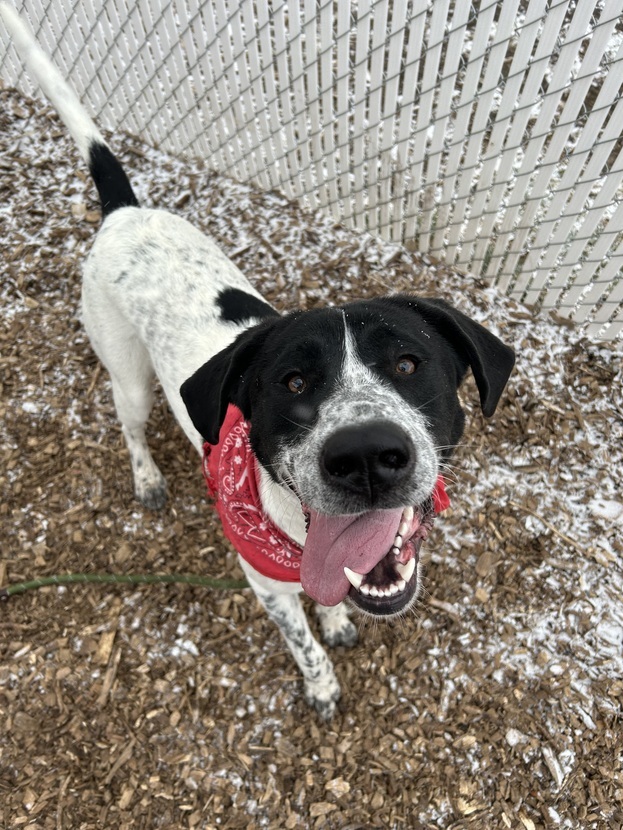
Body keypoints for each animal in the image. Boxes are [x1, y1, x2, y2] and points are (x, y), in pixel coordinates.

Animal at [2, 3, 516, 720]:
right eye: (292, 382)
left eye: (409, 366)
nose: (365, 456)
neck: (295, 533)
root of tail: (125, 213)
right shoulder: (268, 589)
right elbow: (303, 643)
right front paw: (321, 683)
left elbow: (329, 605)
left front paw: (337, 622)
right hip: (128, 375)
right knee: (130, 425)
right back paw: (147, 477)